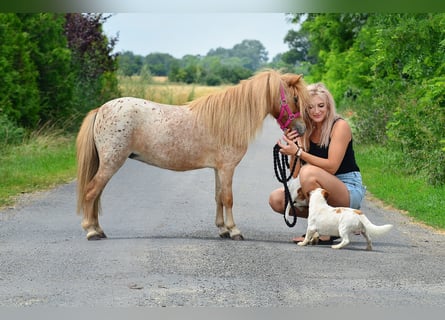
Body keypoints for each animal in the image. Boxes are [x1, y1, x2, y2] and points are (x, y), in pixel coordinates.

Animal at [75, 70, 308, 240]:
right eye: (296, 98)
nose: (302, 129)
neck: (229, 120)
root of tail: (101, 109)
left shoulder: (218, 169)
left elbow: (218, 197)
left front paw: (222, 229)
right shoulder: (227, 168)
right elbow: (228, 198)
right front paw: (234, 231)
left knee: (96, 193)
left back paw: (98, 229)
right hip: (111, 162)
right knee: (91, 192)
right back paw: (91, 230)